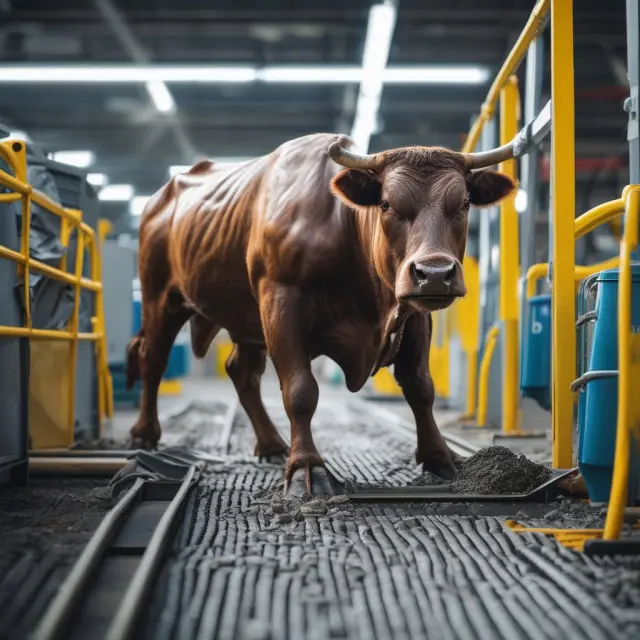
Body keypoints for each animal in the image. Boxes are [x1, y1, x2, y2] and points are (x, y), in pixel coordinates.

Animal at [126, 133, 516, 496]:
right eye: (386, 203)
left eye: (464, 203)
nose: (434, 272)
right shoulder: (280, 301)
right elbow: (300, 391)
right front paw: (305, 467)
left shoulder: (415, 312)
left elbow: (420, 387)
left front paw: (440, 458)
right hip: (161, 297)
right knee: (153, 358)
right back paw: (145, 435)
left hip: (245, 319)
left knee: (242, 373)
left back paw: (271, 445)